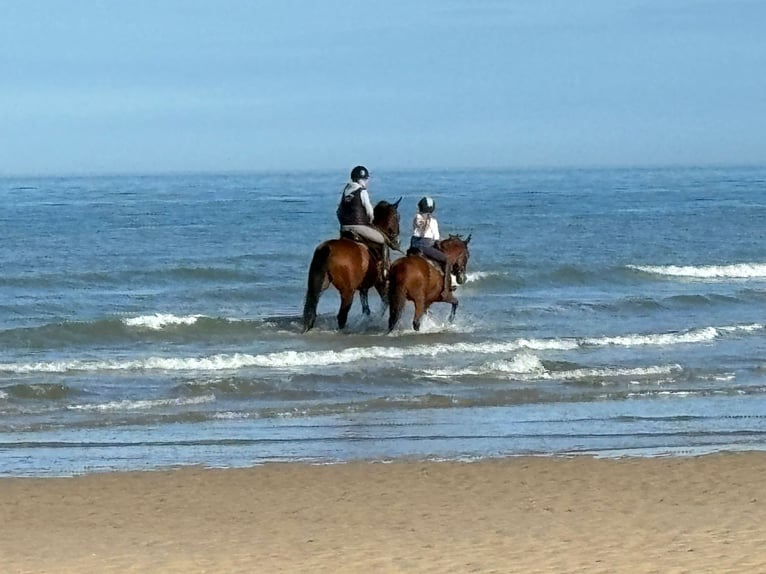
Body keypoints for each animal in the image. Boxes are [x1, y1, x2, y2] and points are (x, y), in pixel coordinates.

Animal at [304, 198, 404, 332]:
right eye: (397, 216)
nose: (397, 241)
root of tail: (327, 249)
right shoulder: (380, 282)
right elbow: (385, 302)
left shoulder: (363, 287)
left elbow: (366, 309)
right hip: (348, 292)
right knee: (342, 316)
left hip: (319, 286)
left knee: (312, 311)